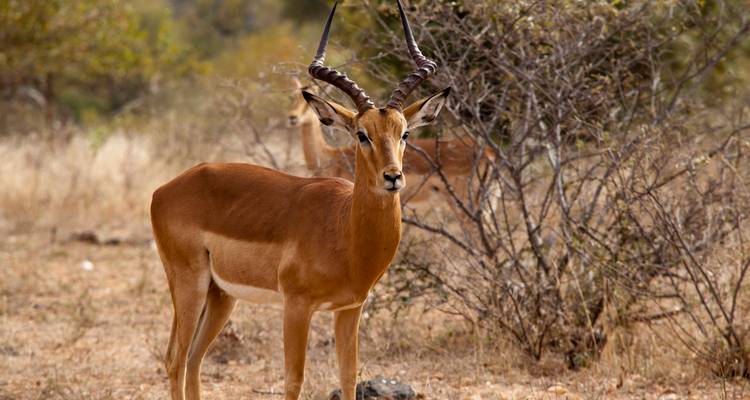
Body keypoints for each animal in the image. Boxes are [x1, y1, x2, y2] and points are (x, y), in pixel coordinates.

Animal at [150, 2, 449, 399]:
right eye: (361, 134)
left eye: (405, 133)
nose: (393, 177)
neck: (344, 231)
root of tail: (165, 189)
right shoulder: (296, 306)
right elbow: (293, 380)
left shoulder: (349, 309)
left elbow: (349, 376)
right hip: (190, 283)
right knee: (174, 358)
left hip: (221, 294)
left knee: (195, 358)